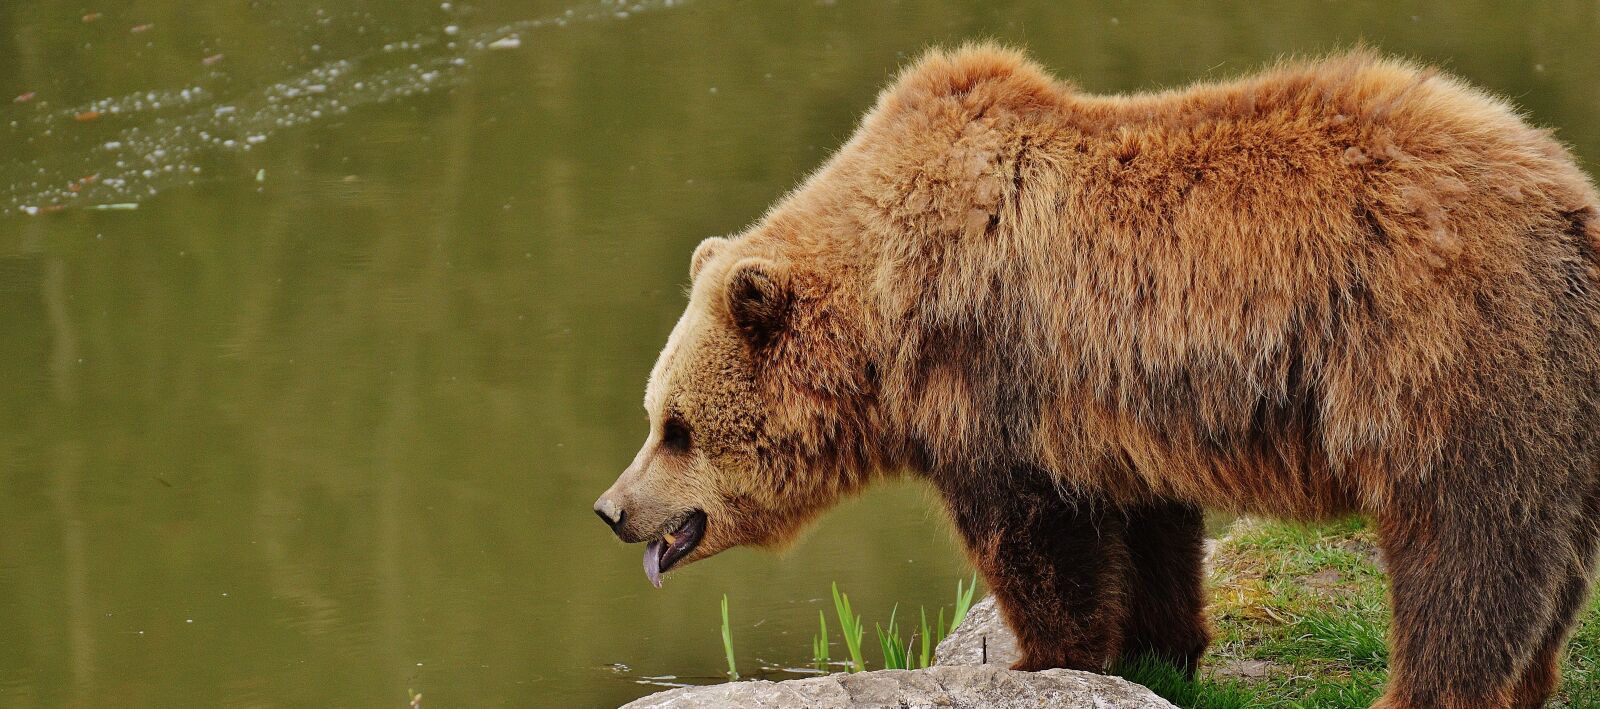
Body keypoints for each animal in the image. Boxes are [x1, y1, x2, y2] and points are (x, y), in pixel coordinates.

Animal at [593, 44, 1600, 709]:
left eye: (675, 427)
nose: (612, 508)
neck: (885, 315)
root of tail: (1566, 197)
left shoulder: (995, 377)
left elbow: (1037, 538)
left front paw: (1037, 660)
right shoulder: (1126, 400)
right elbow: (1153, 533)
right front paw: (1159, 647)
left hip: (1445, 358)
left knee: (1463, 555)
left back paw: (1428, 689)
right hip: (1561, 399)